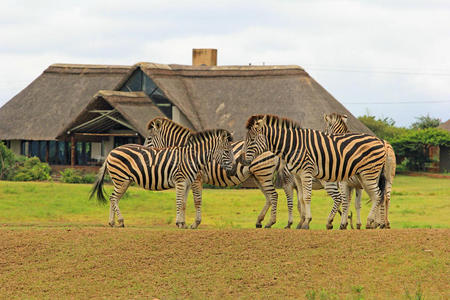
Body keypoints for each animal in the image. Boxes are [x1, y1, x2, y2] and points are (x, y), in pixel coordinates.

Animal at [89, 127, 234, 229]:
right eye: (227, 151)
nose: (233, 170)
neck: (192, 158)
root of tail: (111, 152)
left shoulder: (188, 183)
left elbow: (184, 204)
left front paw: (183, 223)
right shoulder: (180, 181)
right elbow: (179, 202)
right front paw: (179, 223)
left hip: (124, 181)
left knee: (114, 199)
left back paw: (112, 222)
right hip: (121, 179)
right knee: (113, 198)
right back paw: (120, 221)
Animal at [144, 118, 316, 230]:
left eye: (148, 138)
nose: (144, 152)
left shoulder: (196, 179)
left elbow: (196, 201)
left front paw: (194, 223)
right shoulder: (187, 179)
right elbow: (185, 201)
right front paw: (183, 223)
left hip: (263, 173)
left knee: (273, 196)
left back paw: (270, 223)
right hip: (258, 176)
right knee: (271, 197)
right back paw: (263, 221)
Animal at [241, 115, 388, 230]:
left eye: (252, 140)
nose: (241, 160)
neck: (293, 146)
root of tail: (380, 141)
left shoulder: (305, 173)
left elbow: (306, 197)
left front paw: (306, 222)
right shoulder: (297, 176)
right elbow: (301, 199)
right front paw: (302, 222)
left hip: (368, 174)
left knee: (377, 195)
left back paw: (370, 222)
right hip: (363, 177)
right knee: (376, 196)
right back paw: (370, 223)